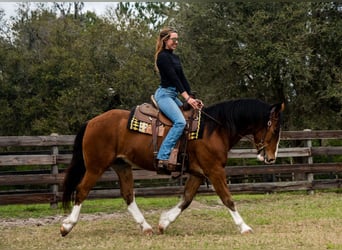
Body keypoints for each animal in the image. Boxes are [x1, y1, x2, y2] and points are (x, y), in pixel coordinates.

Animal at [60, 98, 284, 236]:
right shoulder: (214, 170)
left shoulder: (198, 173)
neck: (213, 129)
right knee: (82, 190)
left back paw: (146, 227)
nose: (271, 158)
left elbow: (186, 199)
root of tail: (92, 121)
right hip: (95, 167)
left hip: (122, 166)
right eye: (274, 130)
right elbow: (227, 199)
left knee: (128, 195)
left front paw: (164, 222)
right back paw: (67, 226)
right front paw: (244, 227)